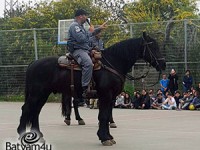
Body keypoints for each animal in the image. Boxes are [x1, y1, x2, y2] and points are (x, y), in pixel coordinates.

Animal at [16, 32, 166, 146]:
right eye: (153, 47)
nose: (163, 64)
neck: (112, 62)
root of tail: (33, 63)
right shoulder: (106, 95)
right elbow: (103, 116)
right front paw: (104, 138)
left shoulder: (111, 98)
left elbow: (106, 116)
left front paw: (108, 136)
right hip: (37, 94)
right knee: (27, 109)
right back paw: (22, 133)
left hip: (43, 94)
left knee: (35, 112)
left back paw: (39, 136)